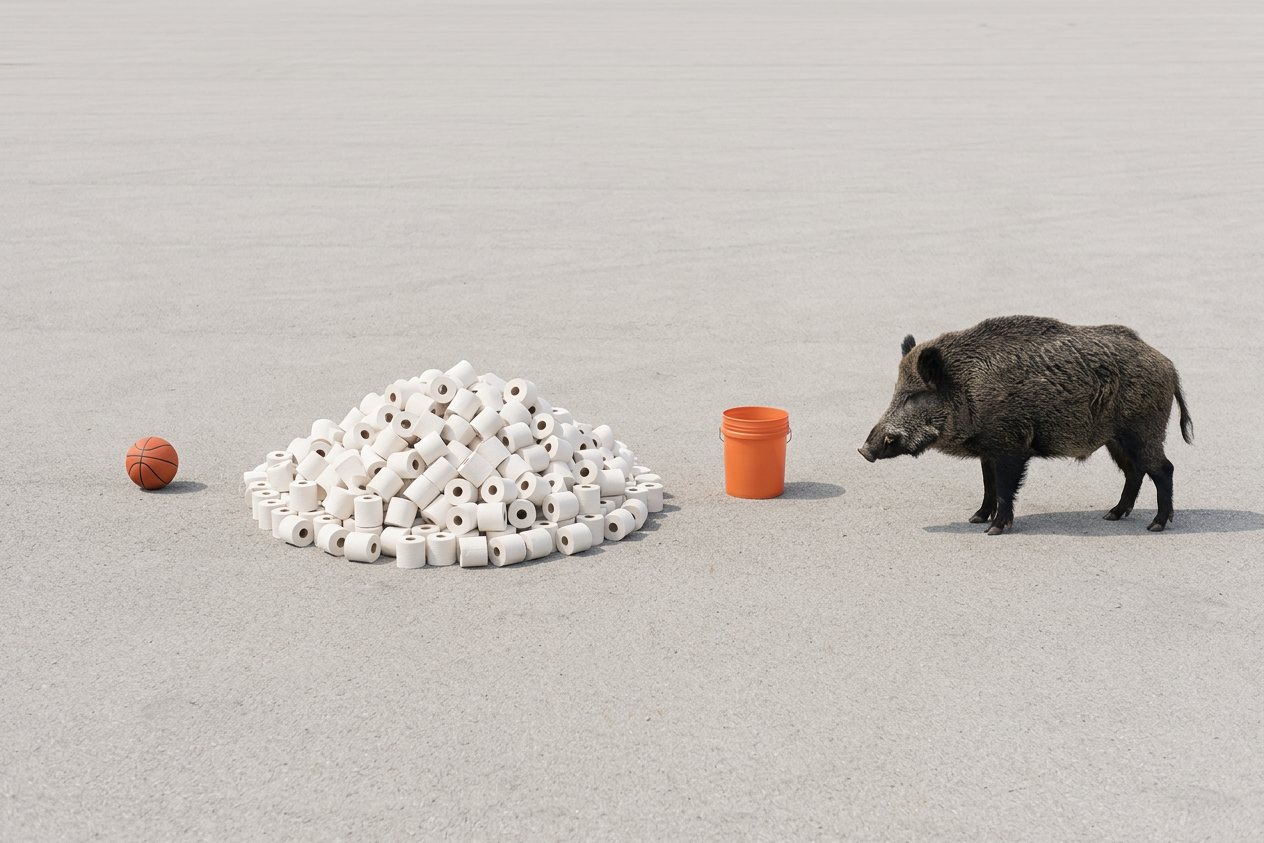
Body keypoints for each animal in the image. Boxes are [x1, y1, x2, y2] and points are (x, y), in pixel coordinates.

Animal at [858, 316, 1193, 534]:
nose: (864, 450)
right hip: (1116, 440)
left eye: (913, 396)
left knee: (1164, 469)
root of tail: (1169, 365)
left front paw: (993, 530)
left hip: (1141, 431)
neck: (968, 388)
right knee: (1135, 472)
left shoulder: (1011, 446)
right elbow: (988, 484)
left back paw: (1156, 525)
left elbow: (1006, 487)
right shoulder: (988, 450)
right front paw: (976, 519)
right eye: (896, 391)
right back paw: (1112, 516)